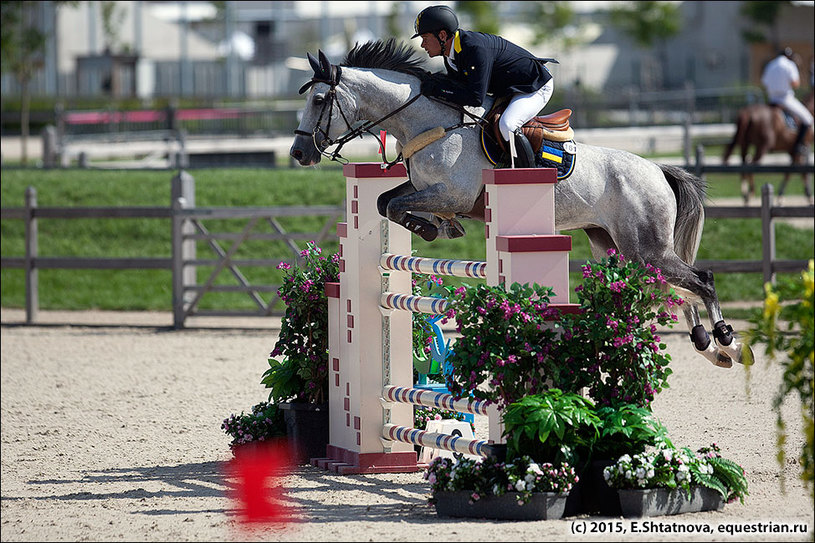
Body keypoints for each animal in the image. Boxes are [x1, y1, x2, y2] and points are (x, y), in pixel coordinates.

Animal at [290, 39, 756, 370]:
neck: (429, 125)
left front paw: (433, 226)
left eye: (319, 100)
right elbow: (387, 201)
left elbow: (396, 206)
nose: (298, 154)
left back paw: (726, 341)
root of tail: (658, 170)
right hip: (617, 247)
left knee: (701, 280)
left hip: (647, 249)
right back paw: (709, 347)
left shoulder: (452, 194)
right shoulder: (423, 188)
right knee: (678, 288)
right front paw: (434, 226)